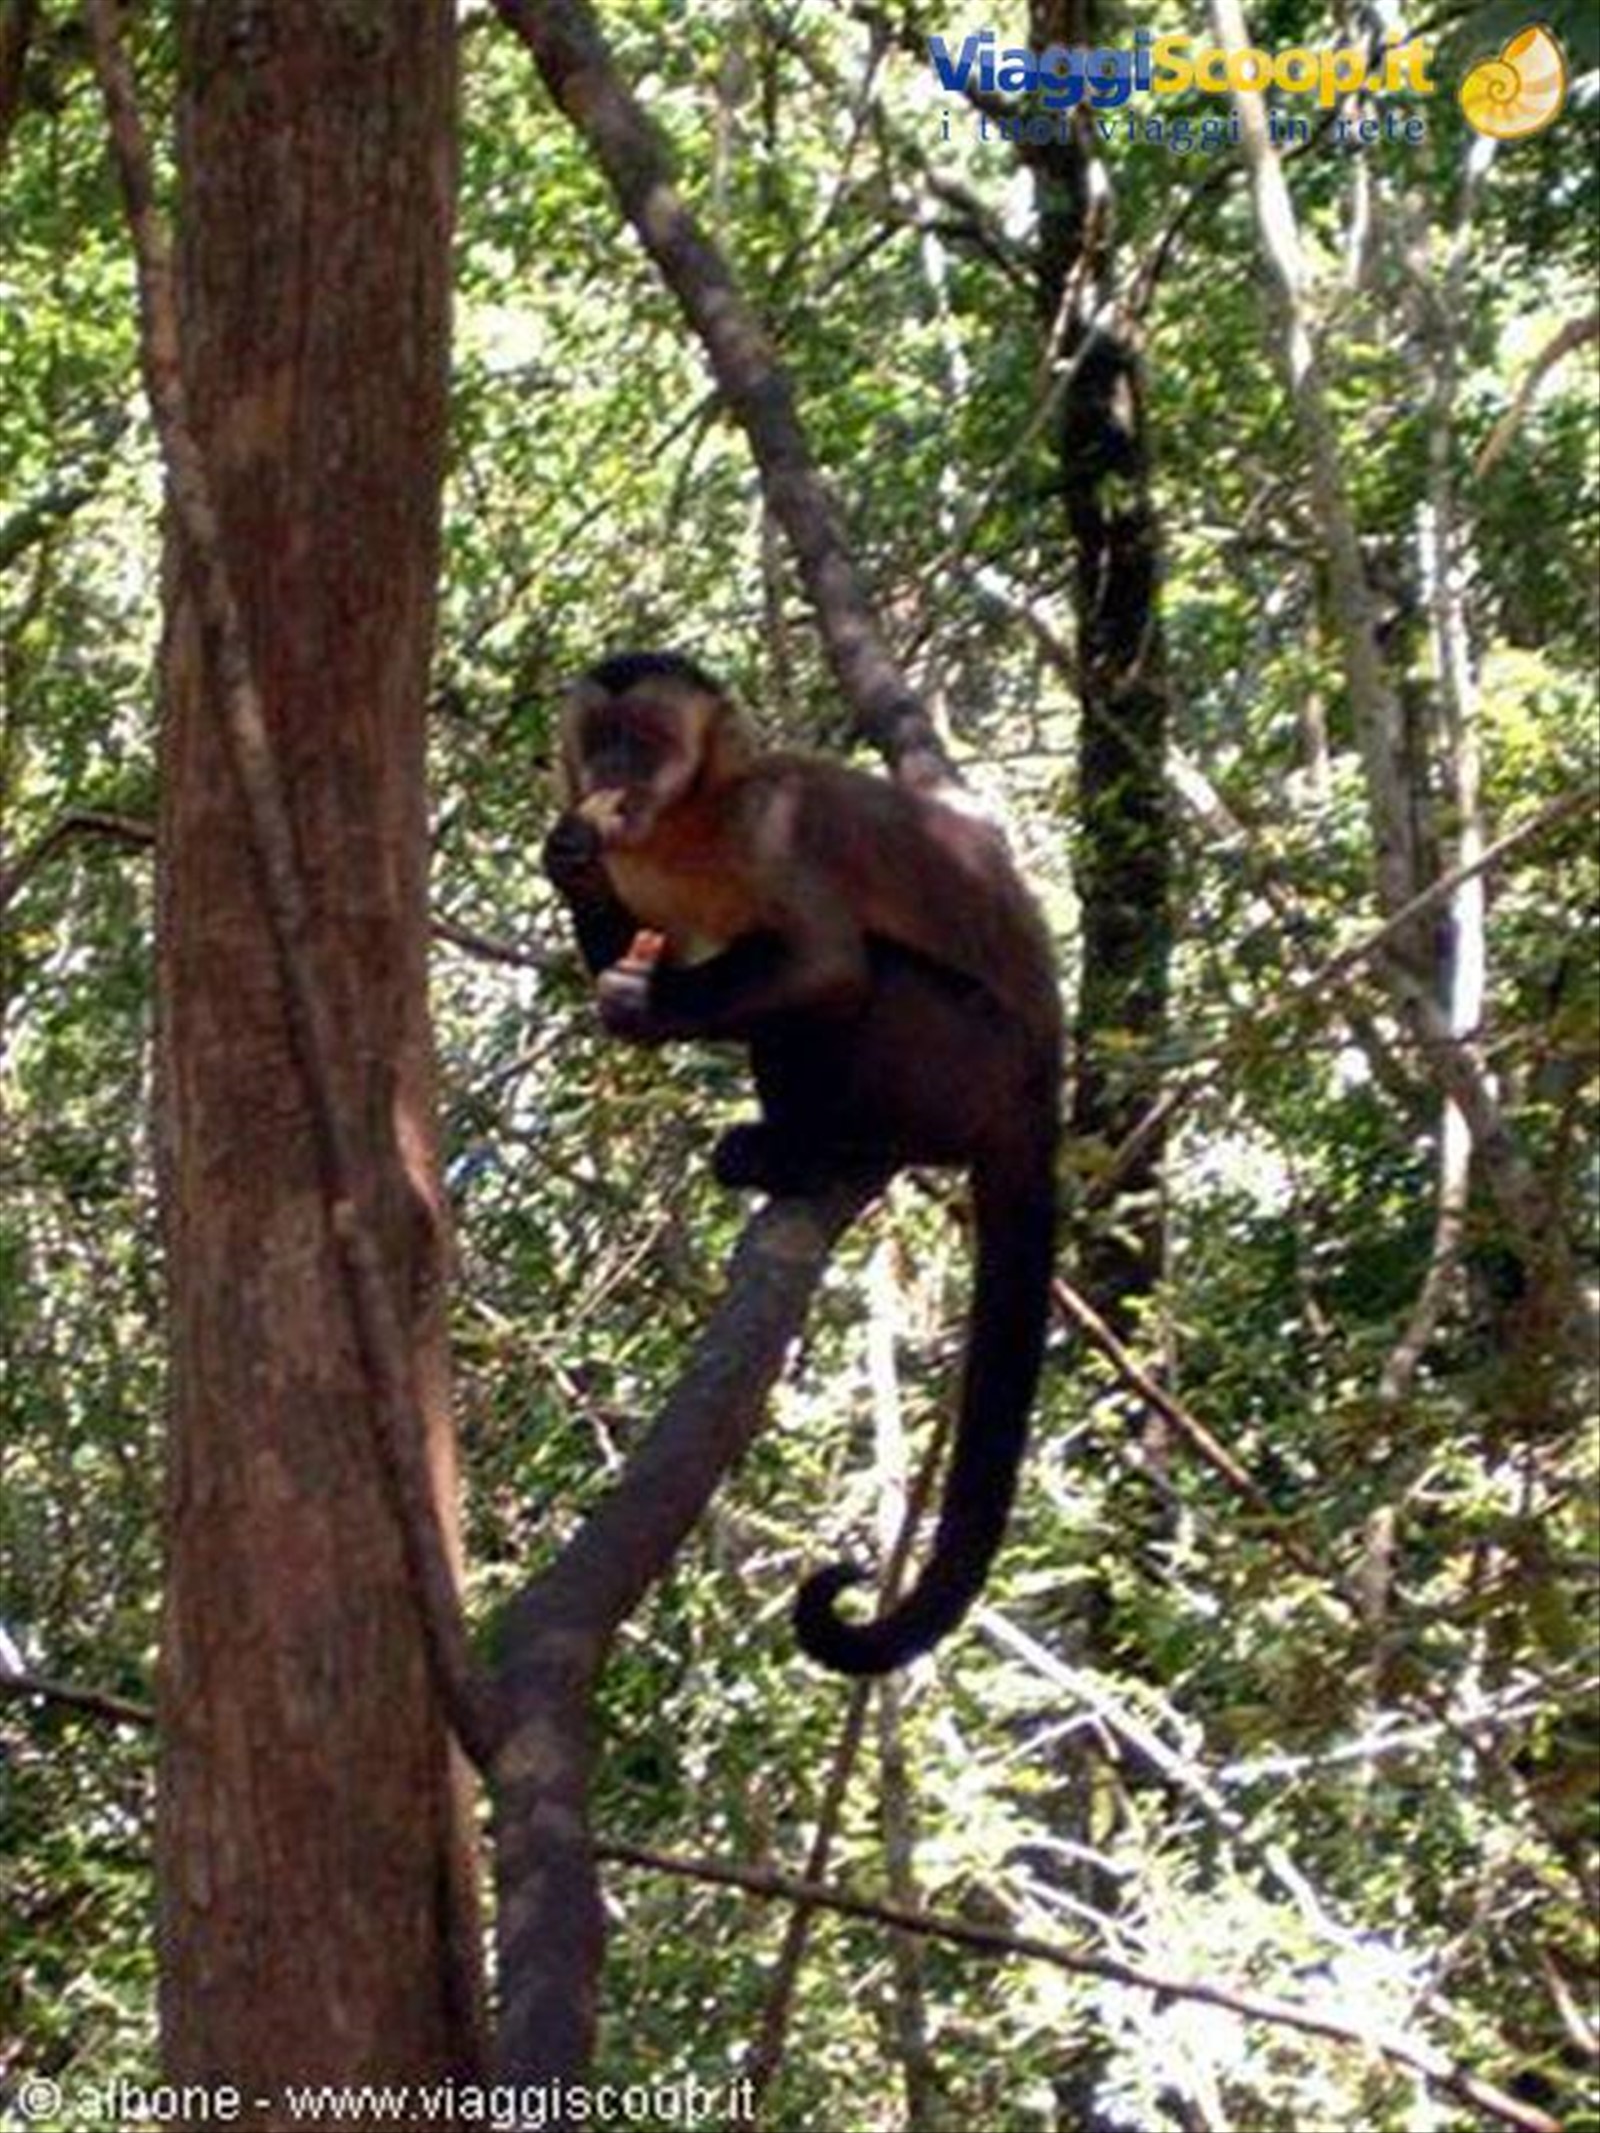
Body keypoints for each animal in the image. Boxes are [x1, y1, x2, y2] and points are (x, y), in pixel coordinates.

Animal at [543, 651, 1061, 1675]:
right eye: (603, 741)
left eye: (647, 742)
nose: (615, 781)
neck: (688, 825)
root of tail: (1045, 1085)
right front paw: (567, 859)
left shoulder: (769, 823)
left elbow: (824, 968)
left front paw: (644, 1002)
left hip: (973, 1067)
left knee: (855, 985)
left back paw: (823, 1149)